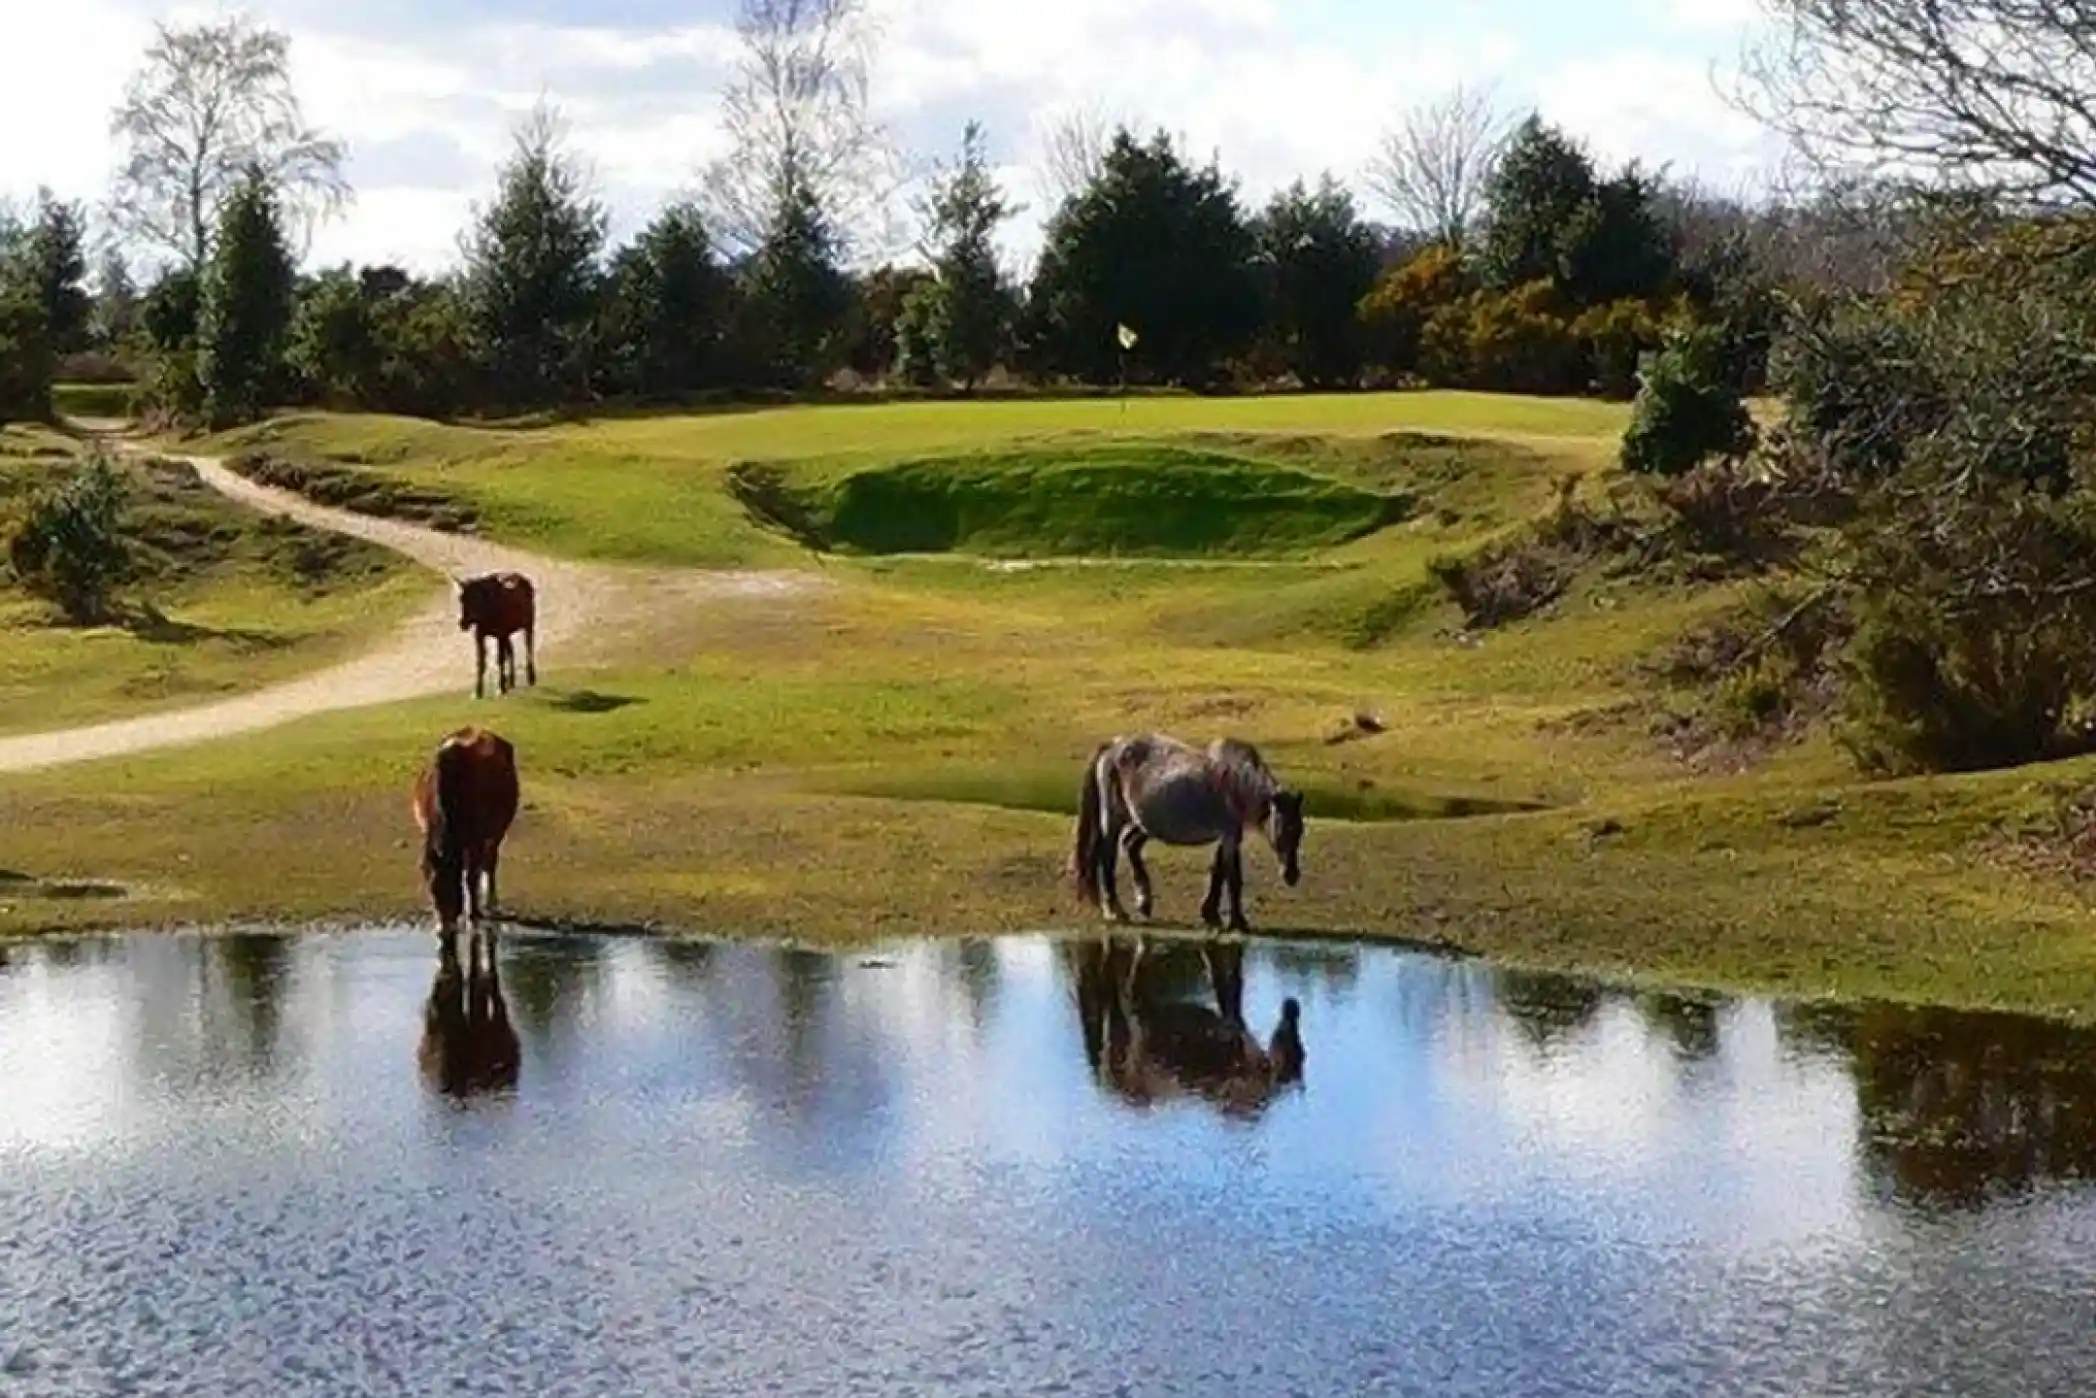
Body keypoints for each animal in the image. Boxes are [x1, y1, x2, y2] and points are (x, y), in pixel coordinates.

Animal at [412, 726, 520, 933]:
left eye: (452, 888)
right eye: (432, 890)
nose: (443, 928)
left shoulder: (476, 840)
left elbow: (471, 877)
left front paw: (474, 913)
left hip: (498, 832)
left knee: (490, 864)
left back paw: (492, 903)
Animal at [1071, 733, 1305, 934]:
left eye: (1300, 831)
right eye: (1286, 829)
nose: (1291, 875)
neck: (1237, 781)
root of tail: (1112, 745)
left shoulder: (1229, 835)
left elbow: (1218, 871)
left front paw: (1210, 913)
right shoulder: (1230, 834)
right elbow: (1233, 877)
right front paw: (1238, 922)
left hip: (1142, 822)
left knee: (1129, 845)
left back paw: (1143, 902)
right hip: (1114, 819)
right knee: (1107, 858)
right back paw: (1114, 911)